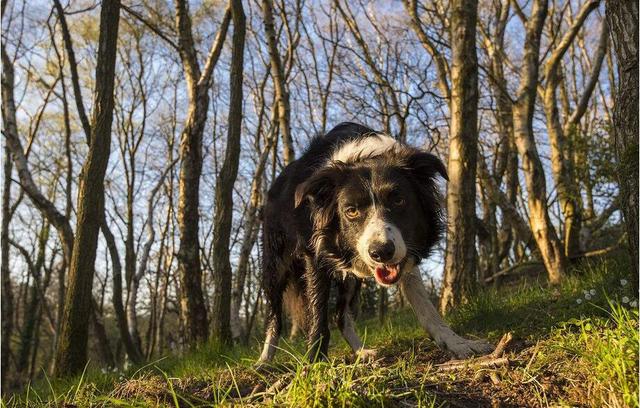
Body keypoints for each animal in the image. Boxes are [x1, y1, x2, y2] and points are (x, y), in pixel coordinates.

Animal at [258, 122, 492, 362]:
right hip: (275, 265)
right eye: (351, 211)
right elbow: (317, 313)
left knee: (341, 315)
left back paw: (361, 352)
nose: (381, 252)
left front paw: (458, 343)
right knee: (274, 317)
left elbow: (426, 306)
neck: (363, 157)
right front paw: (314, 361)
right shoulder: (315, 252)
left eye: (398, 200)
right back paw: (264, 360)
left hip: (351, 277)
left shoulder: (404, 253)